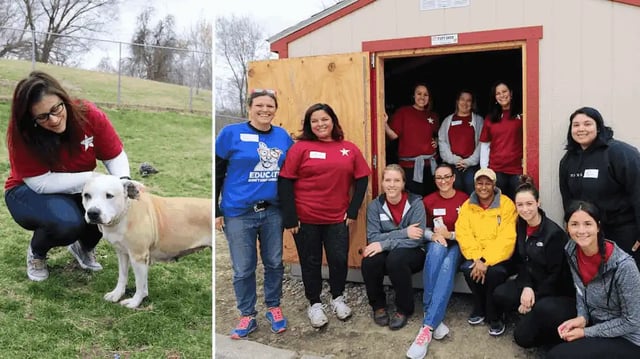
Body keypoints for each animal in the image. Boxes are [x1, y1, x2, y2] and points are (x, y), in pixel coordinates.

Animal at [81, 174, 211, 310]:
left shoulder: (138, 256)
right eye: (87, 195)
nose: (92, 213)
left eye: (109, 195)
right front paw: (117, 294)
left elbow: (139, 283)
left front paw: (135, 302)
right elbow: (123, 276)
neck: (125, 213)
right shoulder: (123, 253)